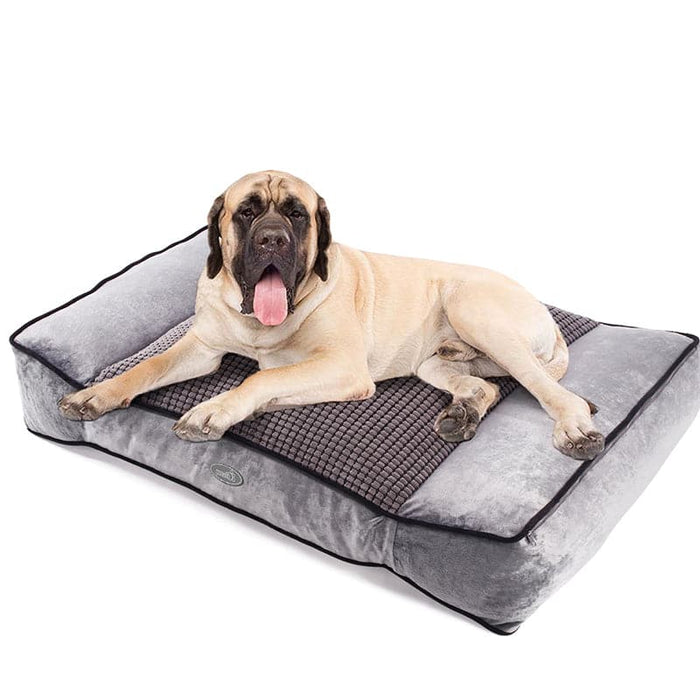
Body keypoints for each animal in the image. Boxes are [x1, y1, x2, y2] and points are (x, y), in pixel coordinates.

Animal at [59, 170, 604, 460]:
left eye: (296, 214)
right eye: (246, 211)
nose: (272, 240)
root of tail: (547, 316)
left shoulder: (342, 368)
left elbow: (258, 379)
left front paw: (215, 410)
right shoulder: (204, 347)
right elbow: (149, 366)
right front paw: (94, 395)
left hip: (472, 306)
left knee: (556, 393)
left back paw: (575, 430)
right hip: (436, 362)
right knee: (482, 385)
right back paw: (461, 413)